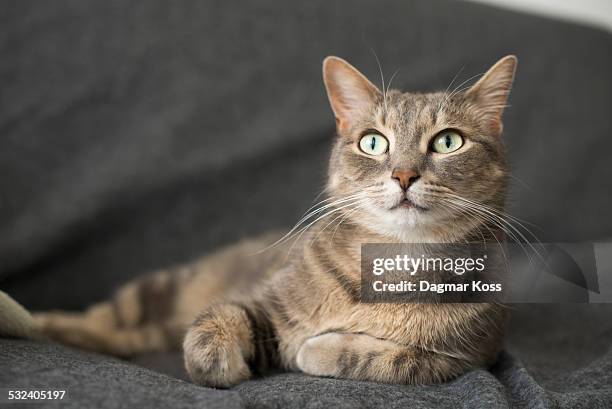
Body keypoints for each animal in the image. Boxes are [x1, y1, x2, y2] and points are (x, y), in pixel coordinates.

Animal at [31, 54, 516, 386]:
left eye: (449, 141)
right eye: (373, 143)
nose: (403, 174)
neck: (394, 263)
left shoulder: (462, 358)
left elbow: (386, 358)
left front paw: (318, 348)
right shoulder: (267, 302)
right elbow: (223, 314)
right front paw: (215, 358)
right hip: (162, 287)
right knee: (106, 317)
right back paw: (46, 323)